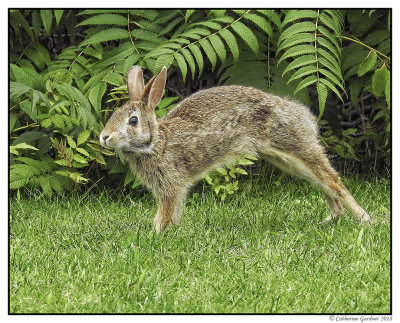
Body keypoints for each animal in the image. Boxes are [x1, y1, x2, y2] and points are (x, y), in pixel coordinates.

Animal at [99, 65, 368, 233]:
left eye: (133, 121)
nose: (104, 137)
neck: (156, 143)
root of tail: (304, 116)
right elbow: (173, 214)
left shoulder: (171, 186)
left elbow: (165, 213)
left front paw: (155, 234)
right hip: (288, 161)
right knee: (322, 183)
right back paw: (331, 218)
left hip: (296, 147)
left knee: (334, 182)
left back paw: (365, 219)